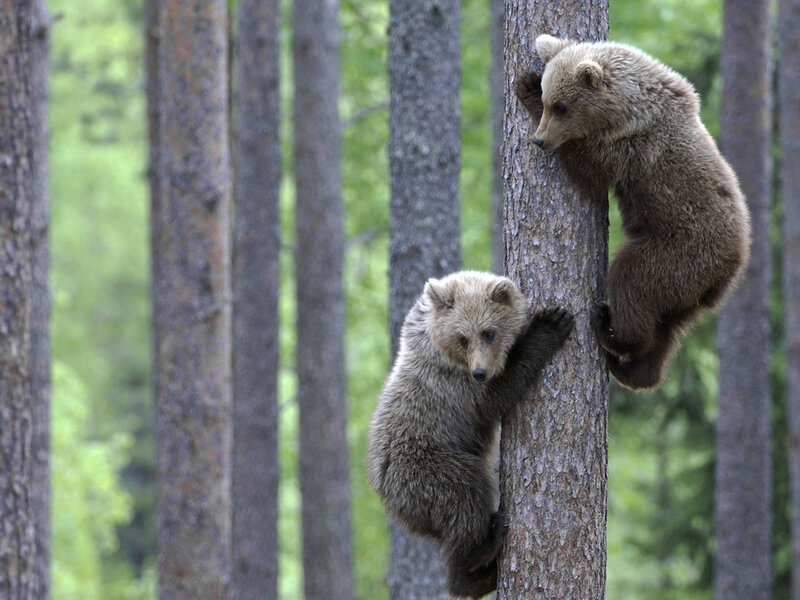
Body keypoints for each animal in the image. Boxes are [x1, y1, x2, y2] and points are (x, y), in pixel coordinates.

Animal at [366, 271, 574, 598]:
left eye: (488, 332)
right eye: (462, 338)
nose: (480, 372)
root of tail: (384, 489)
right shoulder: (457, 387)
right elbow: (500, 391)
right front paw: (550, 323)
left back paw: (480, 576)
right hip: (428, 466)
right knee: (464, 497)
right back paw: (485, 545)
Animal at [514, 34, 751, 390]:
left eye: (560, 106)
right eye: (550, 99)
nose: (539, 140)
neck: (627, 109)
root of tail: (732, 266)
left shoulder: (630, 150)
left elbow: (589, 174)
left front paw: (524, 86)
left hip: (680, 253)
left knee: (632, 281)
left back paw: (609, 329)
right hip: (688, 291)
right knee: (666, 327)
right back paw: (634, 370)